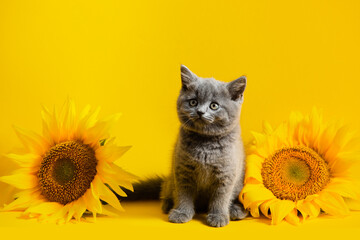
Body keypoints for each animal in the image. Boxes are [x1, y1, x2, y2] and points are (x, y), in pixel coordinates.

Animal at [162, 65, 249, 227]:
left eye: (214, 105)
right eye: (193, 102)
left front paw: (218, 216)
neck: (205, 144)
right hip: (170, 180)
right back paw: (167, 204)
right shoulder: (182, 169)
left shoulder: (226, 173)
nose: (200, 112)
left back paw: (236, 210)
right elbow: (183, 193)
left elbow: (221, 197)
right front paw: (181, 213)